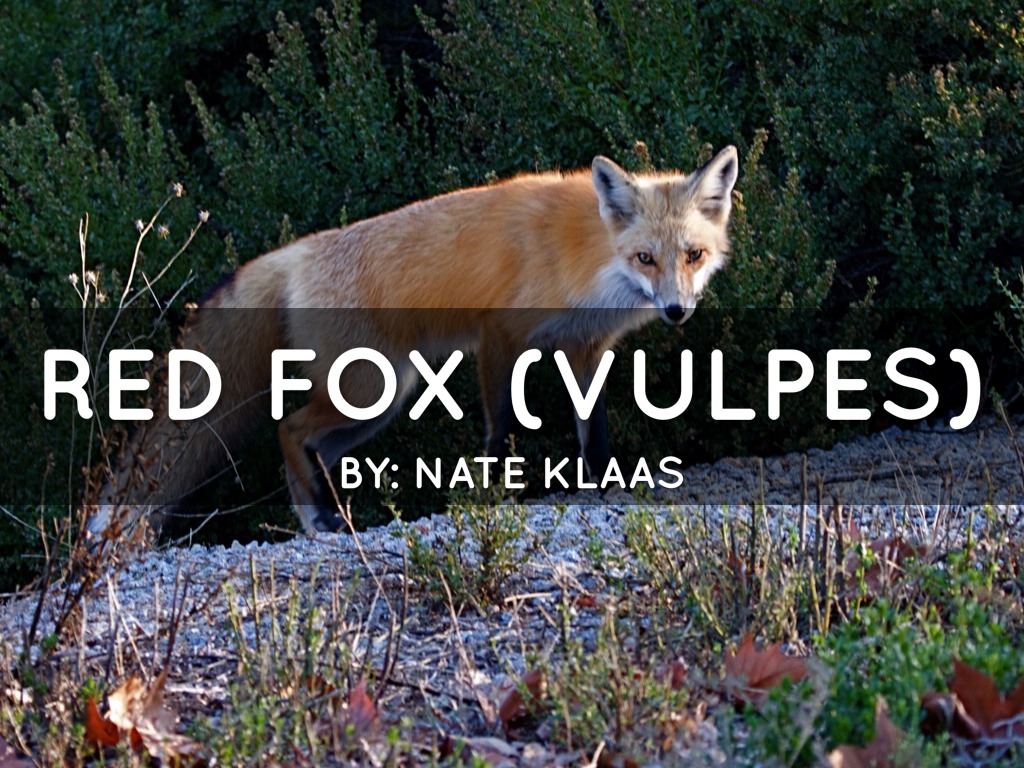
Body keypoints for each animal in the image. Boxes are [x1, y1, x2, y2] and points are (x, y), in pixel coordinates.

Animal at [85, 146, 739, 543]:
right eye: (645, 258)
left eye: (693, 255)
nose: (677, 311)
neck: (586, 256)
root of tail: (295, 252)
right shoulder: (499, 334)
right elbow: (501, 429)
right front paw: (496, 493)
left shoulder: (585, 348)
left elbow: (592, 432)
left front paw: (600, 486)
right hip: (371, 388)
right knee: (288, 428)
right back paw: (321, 518)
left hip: (380, 401)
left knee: (309, 445)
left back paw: (324, 517)